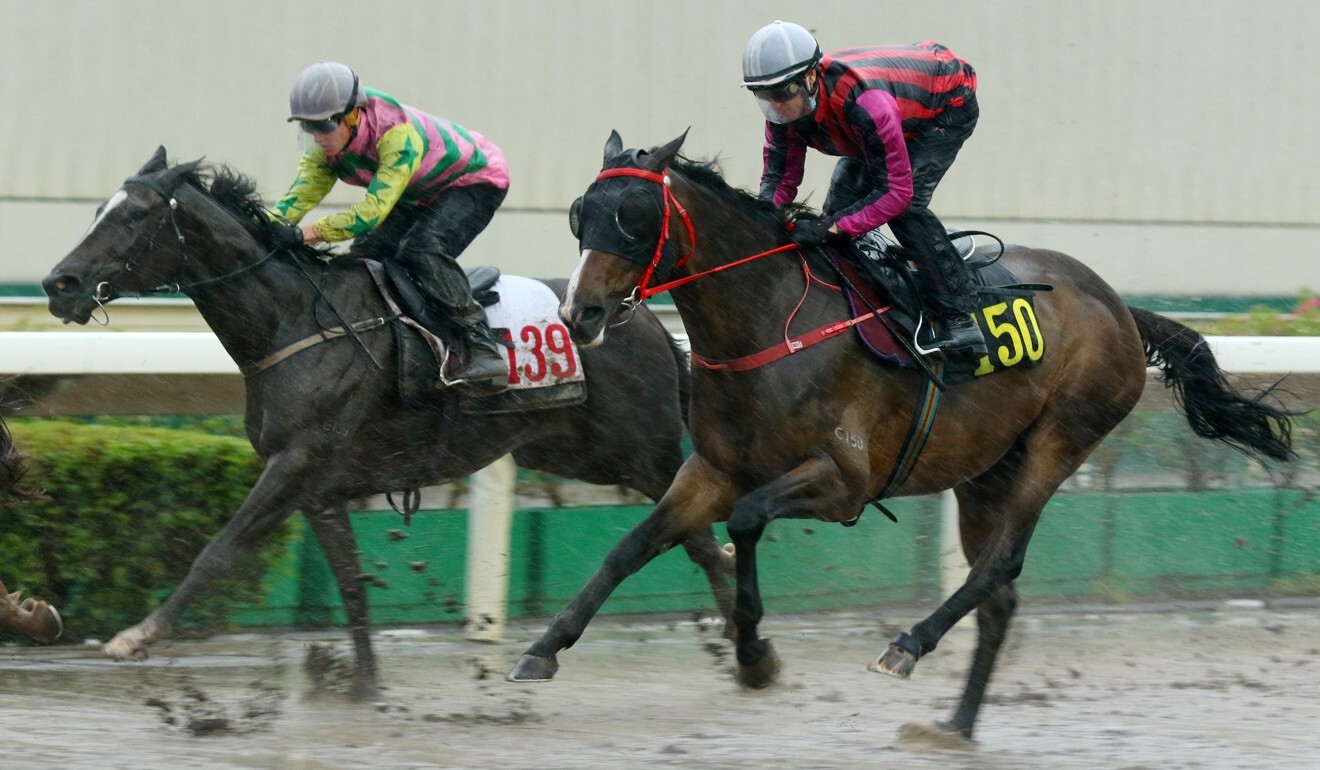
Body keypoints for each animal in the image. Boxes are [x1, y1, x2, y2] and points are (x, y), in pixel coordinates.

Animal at [38, 145, 733, 697]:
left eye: (134, 216)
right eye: (97, 210)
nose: (58, 283)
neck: (293, 321)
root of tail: (642, 318)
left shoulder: (295, 463)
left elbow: (219, 551)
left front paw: (137, 635)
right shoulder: (317, 487)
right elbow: (350, 583)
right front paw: (364, 687)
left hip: (641, 453)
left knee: (699, 540)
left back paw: (737, 646)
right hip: (570, 452)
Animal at [506, 132, 1298, 744]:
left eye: (634, 217)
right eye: (582, 214)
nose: (580, 313)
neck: (769, 326)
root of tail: (1122, 308)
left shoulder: (843, 483)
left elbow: (748, 521)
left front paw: (754, 651)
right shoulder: (709, 469)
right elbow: (630, 548)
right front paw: (542, 650)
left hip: (1061, 439)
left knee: (1001, 565)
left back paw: (909, 645)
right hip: (985, 472)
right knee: (1000, 596)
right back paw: (956, 727)